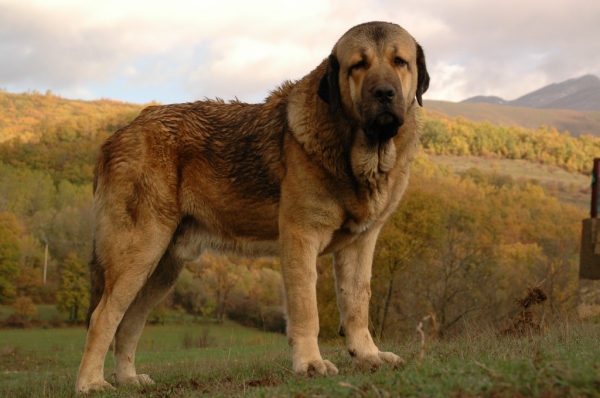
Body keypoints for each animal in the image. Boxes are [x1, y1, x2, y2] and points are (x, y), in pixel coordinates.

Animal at [75, 21, 428, 392]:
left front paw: (368, 356)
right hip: (140, 251)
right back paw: (91, 383)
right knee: (104, 316)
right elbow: (306, 310)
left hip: (162, 266)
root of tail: (117, 135)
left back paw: (128, 379)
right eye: (359, 65)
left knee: (129, 320)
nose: (385, 93)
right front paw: (310, 363)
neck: (358, 152)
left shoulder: (360, 244)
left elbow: (358, 302)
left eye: (400, 62)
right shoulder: (301, 238)